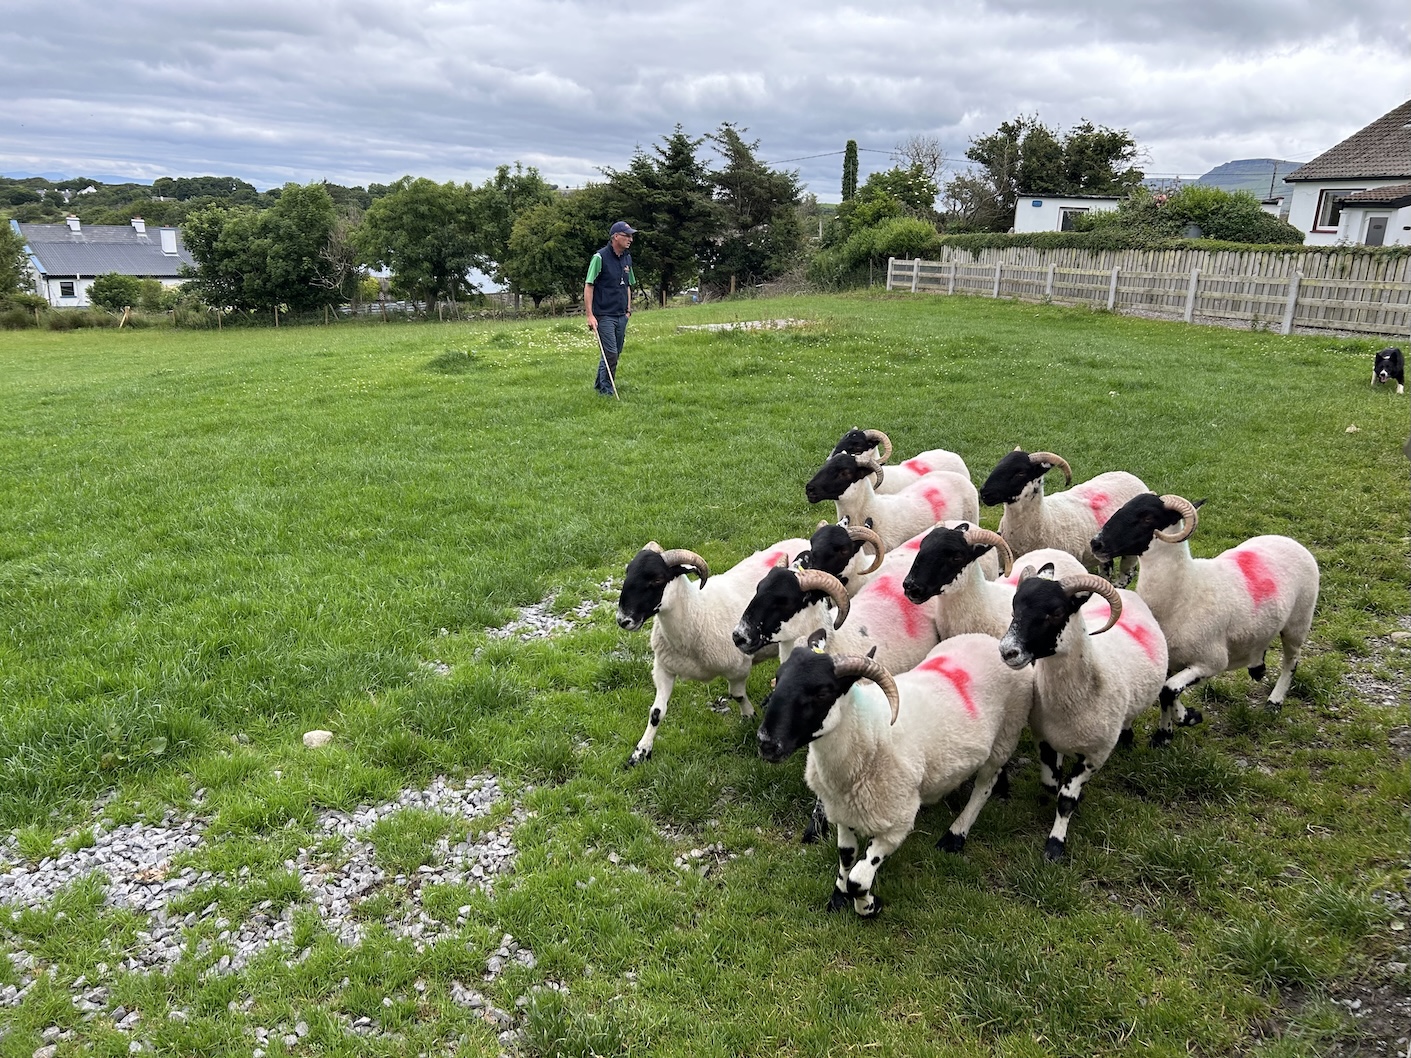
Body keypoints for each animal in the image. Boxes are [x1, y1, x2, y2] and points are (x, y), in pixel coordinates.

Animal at [616, 537, 809, 767]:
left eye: (657, 579)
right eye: (628, 571)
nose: (623, 620)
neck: (697, 612)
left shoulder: (739, 667)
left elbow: (737, 695)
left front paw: (750, 716)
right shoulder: (663, 668)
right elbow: (656, 712)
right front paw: (640, 752)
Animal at [755, 634, 1035, 916]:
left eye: (822, 692)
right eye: (778, 679)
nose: (766, 743)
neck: (870, 732)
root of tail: (987, 639)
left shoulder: (896, 824)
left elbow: (859, 879)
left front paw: (869, 906)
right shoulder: (843, 812)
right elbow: (846, 856)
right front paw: (838, 895)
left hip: (1005, 735)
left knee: (984, 785)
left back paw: (955, 836)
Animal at [978, 448, 1148, 584]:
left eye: (1020, 472)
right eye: (999, 464)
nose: (984, 493)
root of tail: (1131, 476)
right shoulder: (1004, 565)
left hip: (1131, 552)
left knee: (1126, 576)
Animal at [998, 565, 1168, 861]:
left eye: (1055, 612)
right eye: (1014, 608)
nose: (1008, 651)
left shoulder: (1096, 754)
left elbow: (1066, 798)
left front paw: (1055, 845)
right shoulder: (1044, 738)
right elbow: (1051, 784)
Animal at [1089, 493, 1320, 738]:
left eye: (1148, 517)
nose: (1096, 543)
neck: (1184, 592)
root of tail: (1289, 540)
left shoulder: (1211, 661)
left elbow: (1169, 690)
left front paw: (1189, 718)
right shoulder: (1169, 661)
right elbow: (1164, 696)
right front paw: (1164, 734)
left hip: (1298, 621)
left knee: (1291, 661)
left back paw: (1274, 702)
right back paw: (1257, 668)